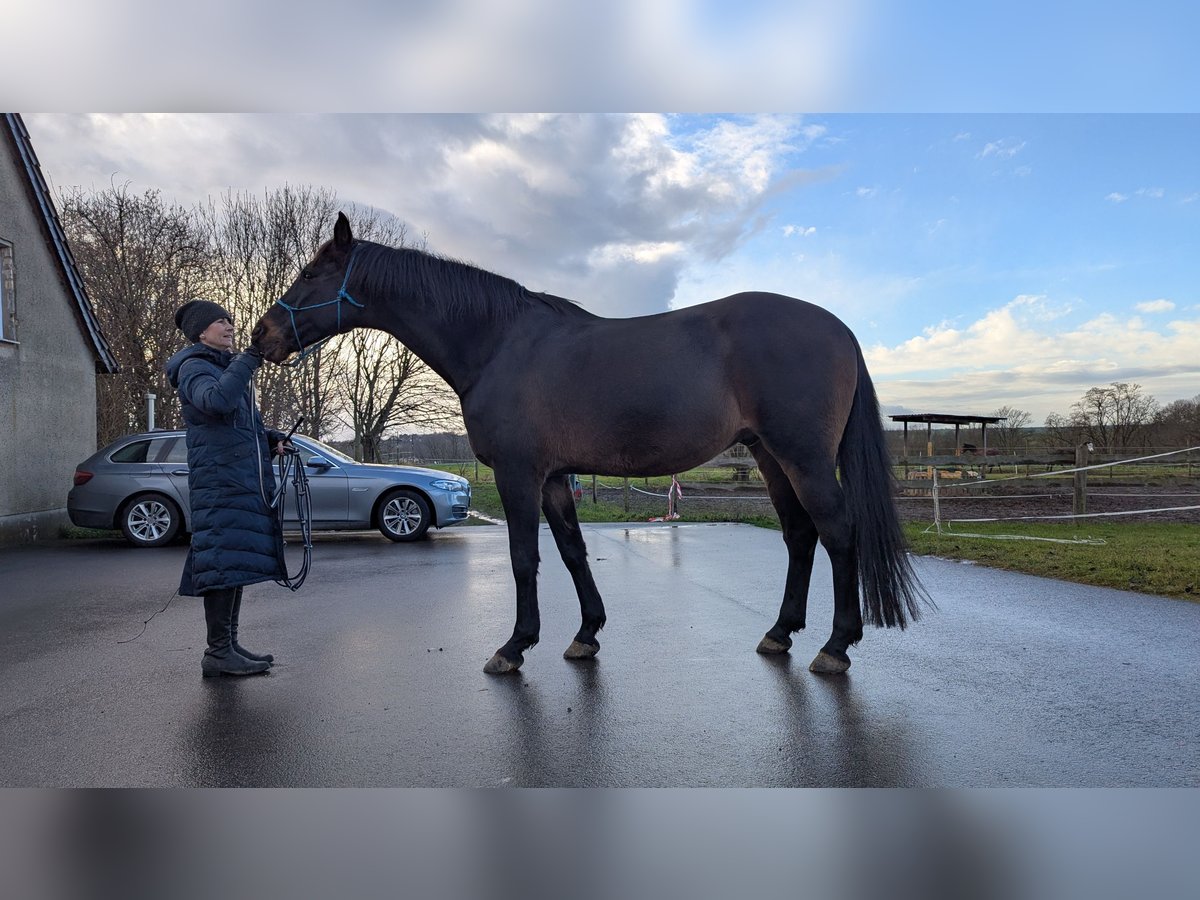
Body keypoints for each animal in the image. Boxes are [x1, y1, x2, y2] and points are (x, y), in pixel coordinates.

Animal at [250, 213, 926, 676]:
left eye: (311, 273)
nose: (262, 335)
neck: (498, 343)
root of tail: (838, 328)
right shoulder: (554, 477)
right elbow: (573, 552)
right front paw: (586, 635)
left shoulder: (519, 474)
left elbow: (526, 558)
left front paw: (514, 646)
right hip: (768, 456)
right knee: (800, 535)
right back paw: (780, 633)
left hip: (803, 457)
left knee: (838, 534)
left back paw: (836, 647)